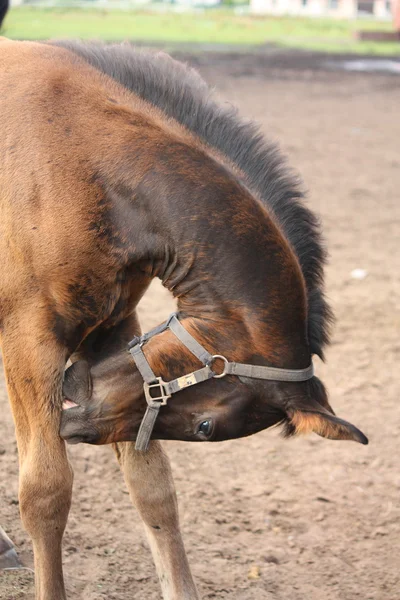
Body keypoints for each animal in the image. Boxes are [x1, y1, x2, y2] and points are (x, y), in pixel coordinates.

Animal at [0, 38, 368, 600]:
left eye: (203, 427)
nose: (75, 406)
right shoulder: (28, 340)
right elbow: (45, 493)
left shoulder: (113, 329)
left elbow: (152, 486)